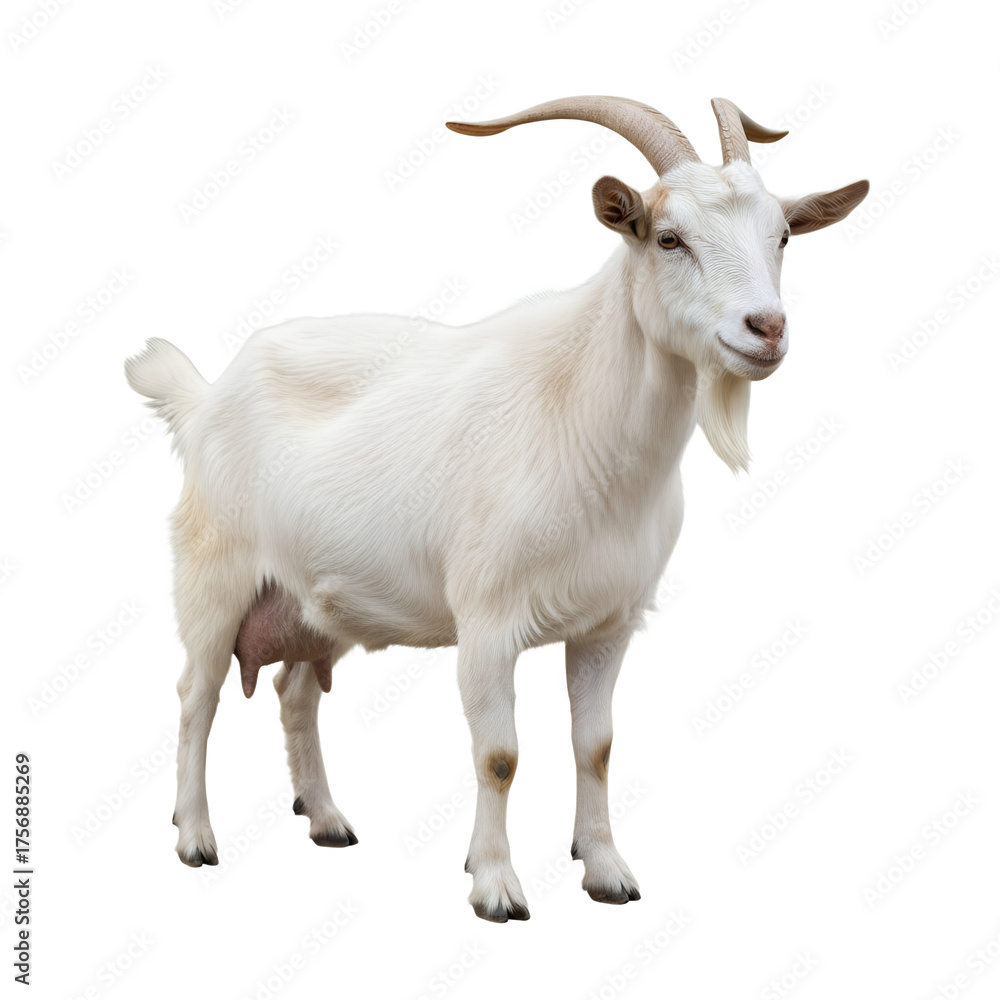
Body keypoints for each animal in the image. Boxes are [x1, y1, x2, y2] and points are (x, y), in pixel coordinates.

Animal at [125, 95, 867, 922]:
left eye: (782, 235)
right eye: (668, 237)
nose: (766, 329)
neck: (579, 417)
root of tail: (205, 398)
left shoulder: (609, 625)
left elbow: (596, 747)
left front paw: (607, 871)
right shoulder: (485, 621)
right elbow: (500, 755)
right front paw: (495, 885)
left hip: (317, 600)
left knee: (294, 692)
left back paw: (326, 820)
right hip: (213, 575)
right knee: (197, 695)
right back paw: (195, 836)